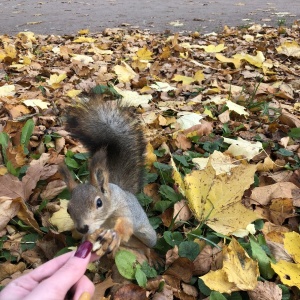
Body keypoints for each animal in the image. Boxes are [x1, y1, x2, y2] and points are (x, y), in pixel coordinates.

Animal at [60, 95, 157, 254]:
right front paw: (87, 240)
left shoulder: (125, 210)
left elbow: (125, 225)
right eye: (68, 209)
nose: (82, 228)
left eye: (99, 203)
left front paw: (114, 235)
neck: (105, 220)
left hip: (147, 234)